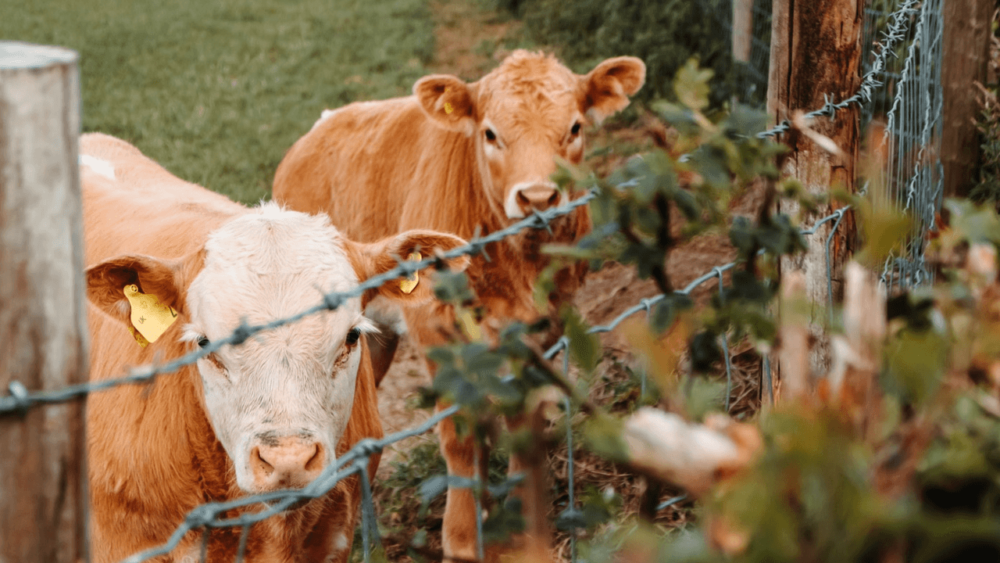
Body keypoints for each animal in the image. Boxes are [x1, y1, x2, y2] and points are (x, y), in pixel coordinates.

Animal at [270, 51, 644, 560]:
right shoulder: (435, 330)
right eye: (490, 133)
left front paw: (522, 531)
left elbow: (522, 423)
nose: (538, 198)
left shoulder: (544, 327)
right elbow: (462, 434)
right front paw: (463, 538)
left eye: (575, 128)